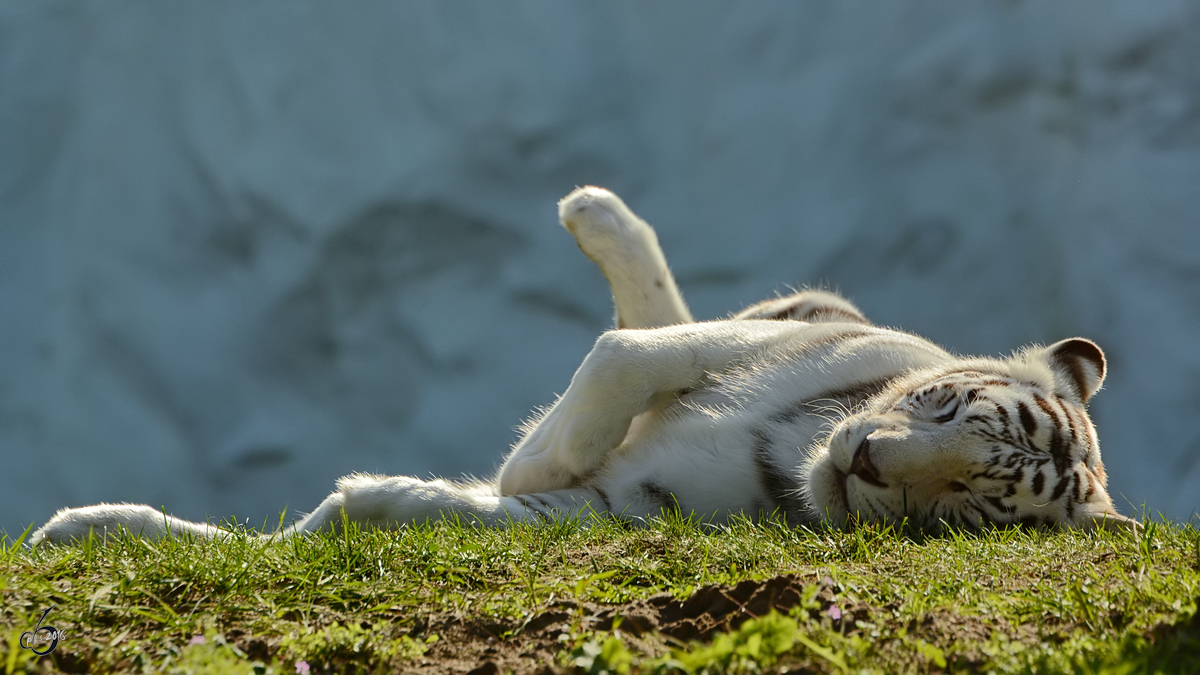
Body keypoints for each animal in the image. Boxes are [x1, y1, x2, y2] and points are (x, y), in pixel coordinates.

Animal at [28, 186, 1132, 542]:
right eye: (944, 408)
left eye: (960, 505)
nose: (864, 464)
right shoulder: (779, 345)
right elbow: (625, 354)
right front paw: (537, 453)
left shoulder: (628, 510)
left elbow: (471, 510)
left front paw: (384, 498)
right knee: (652, 307)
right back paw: (595, 214)